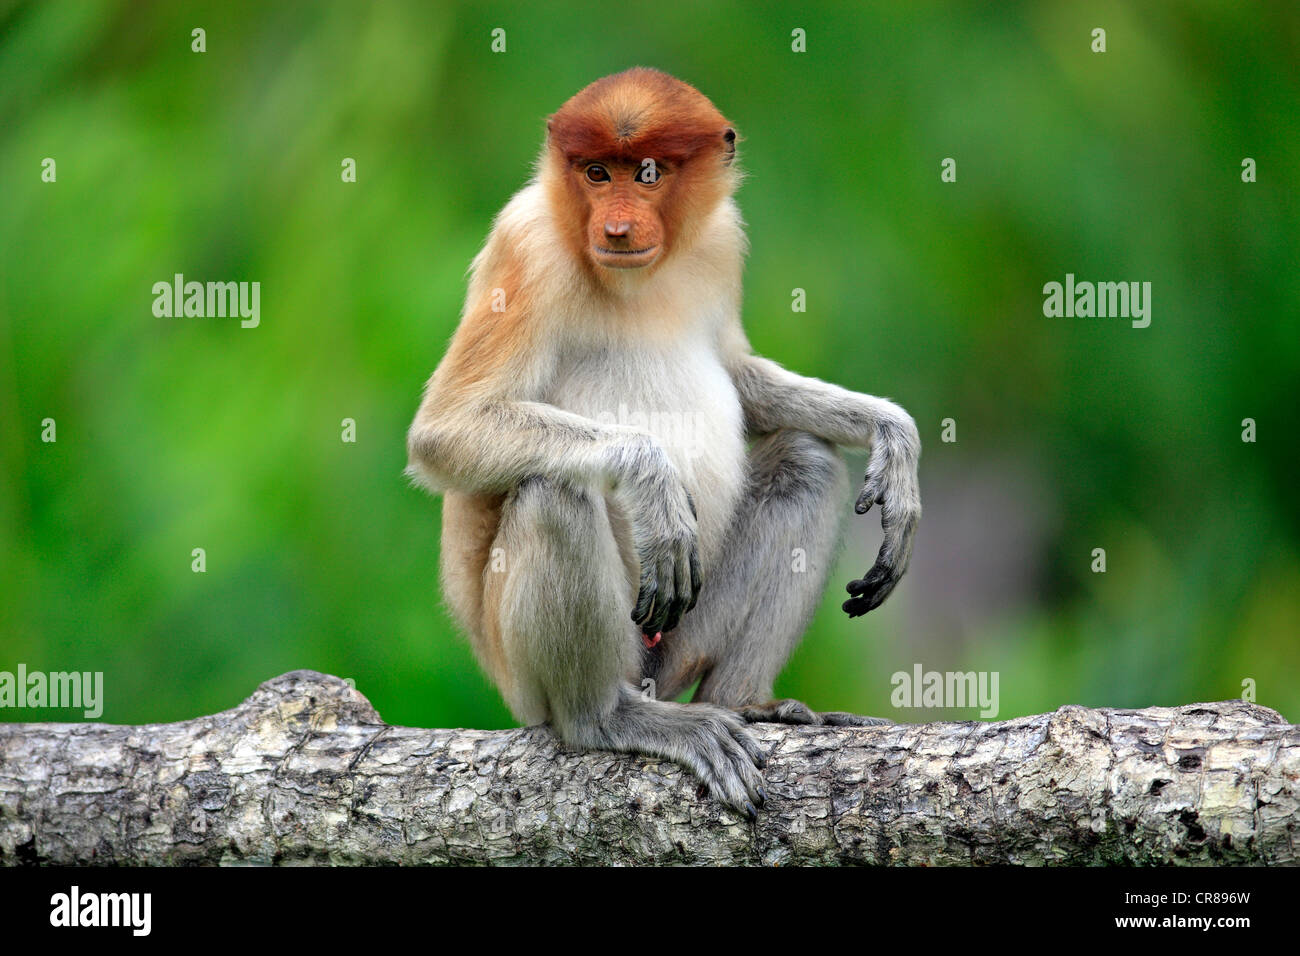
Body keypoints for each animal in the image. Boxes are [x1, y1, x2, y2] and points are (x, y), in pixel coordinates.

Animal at [406, 68, 920, 816]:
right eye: (596, 173)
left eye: (648, 174)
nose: (616, 227)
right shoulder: (526, 247)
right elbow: (447, 429)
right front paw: (653, 482)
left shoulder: (722, 240)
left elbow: (740, 376)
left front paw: (892, 433)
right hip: (530, 673)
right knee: (556, 491)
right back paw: (607, 718)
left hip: (680, 642)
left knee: (805, 461)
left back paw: (745, 701)